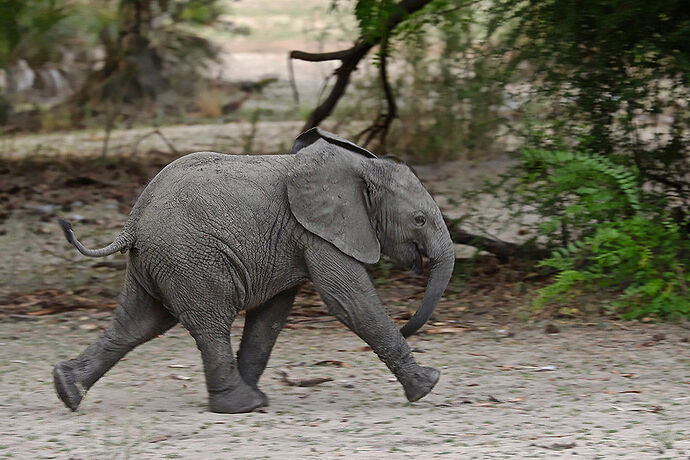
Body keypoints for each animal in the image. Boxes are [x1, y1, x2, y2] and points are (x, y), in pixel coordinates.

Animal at [53, 126, 452, 414]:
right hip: (189, 259)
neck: (357, 168)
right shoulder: (318, 232)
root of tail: (133, 221)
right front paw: (428, 384)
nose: (409, 326)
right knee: (209, 323)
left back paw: (67, 389)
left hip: (157, 261)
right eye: (419, 219)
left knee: (138, 324)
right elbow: (350, 300)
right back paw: (240, 405)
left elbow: (270, 317)